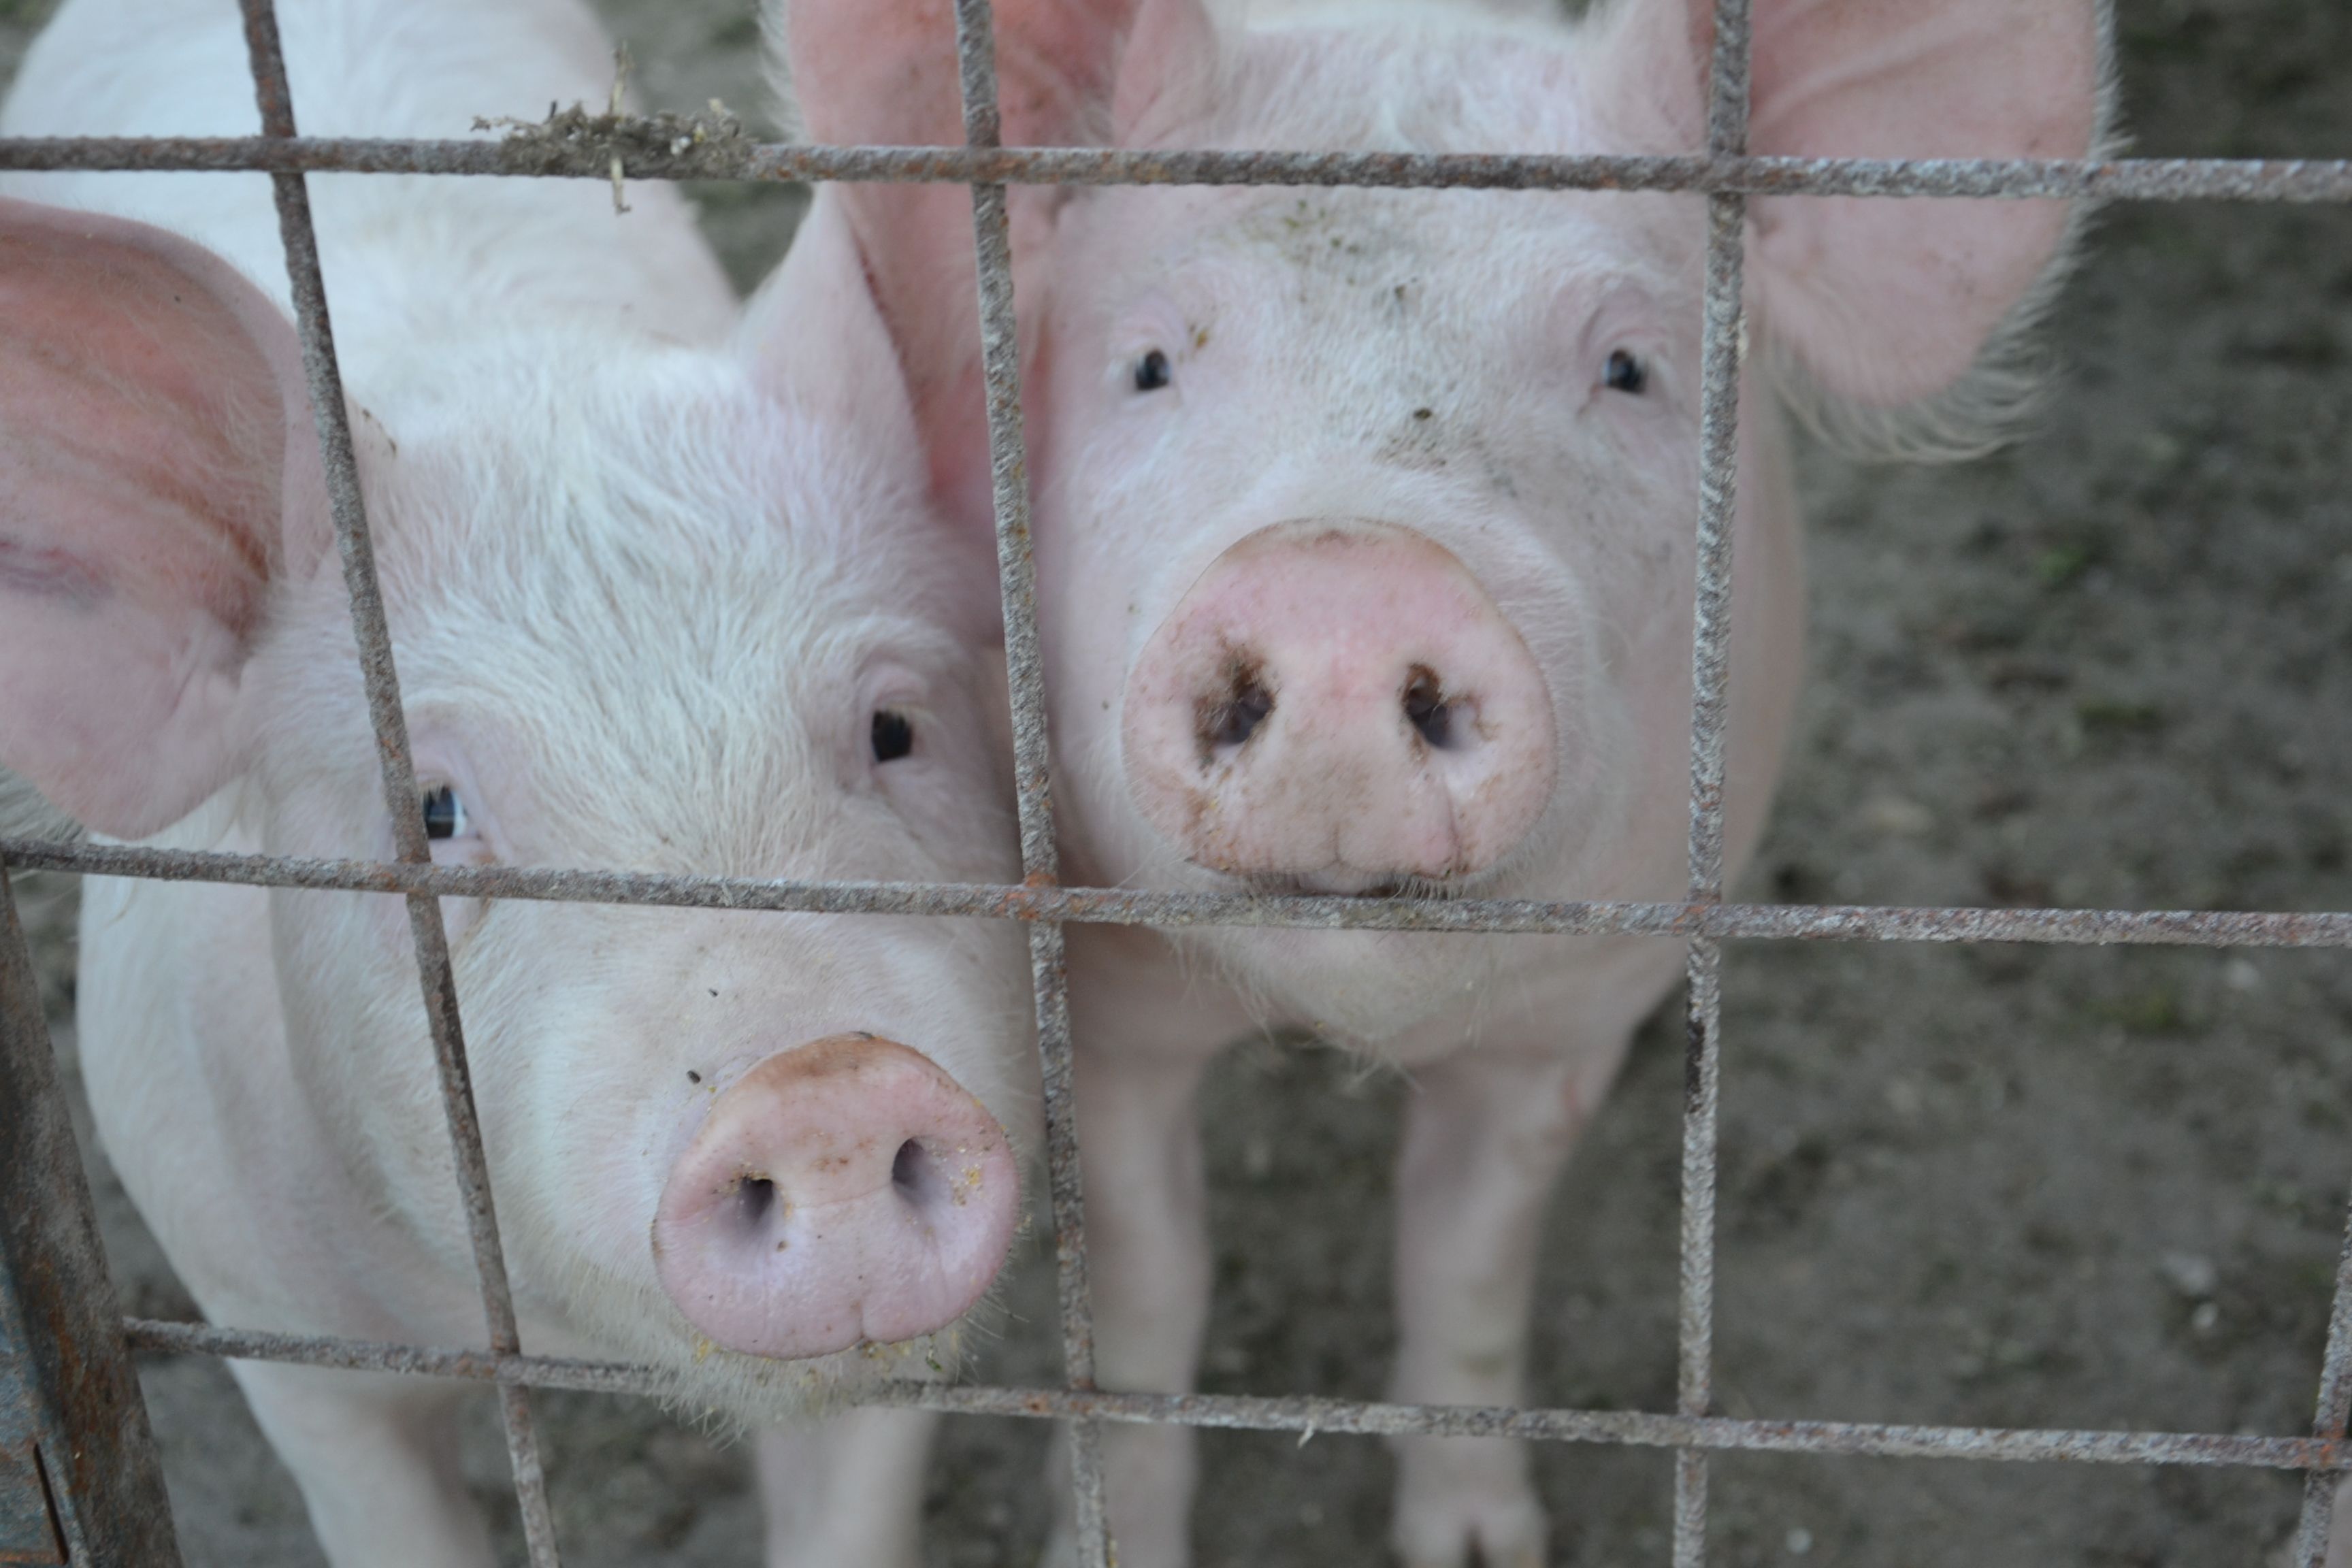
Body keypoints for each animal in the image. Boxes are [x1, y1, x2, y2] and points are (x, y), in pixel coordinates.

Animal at [776, 0, 2103, 1561]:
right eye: (1151, 363)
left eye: (1628, 368)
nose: (1347, 581)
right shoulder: (1104, 1005)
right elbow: (1157, 1275)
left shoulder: (1573, 1015)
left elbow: (1466, 1268)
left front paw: (1478, 1541)